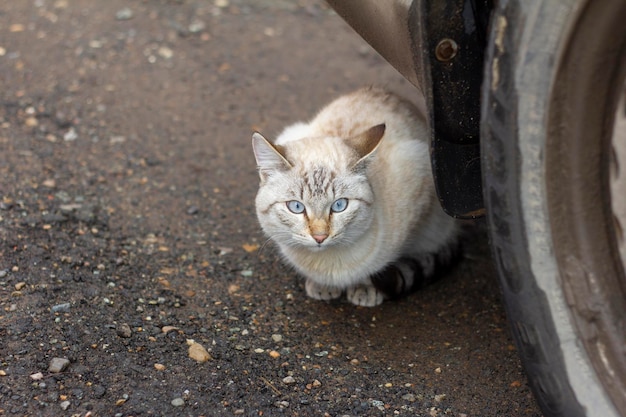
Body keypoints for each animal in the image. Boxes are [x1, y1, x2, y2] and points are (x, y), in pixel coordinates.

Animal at [249, 87, 458, 306]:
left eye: (339, 205)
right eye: (296, 207)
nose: (320, 237)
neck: (327, 266)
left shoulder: (420, 179)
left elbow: (377, 267)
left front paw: (365, 289)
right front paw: (322, 287)